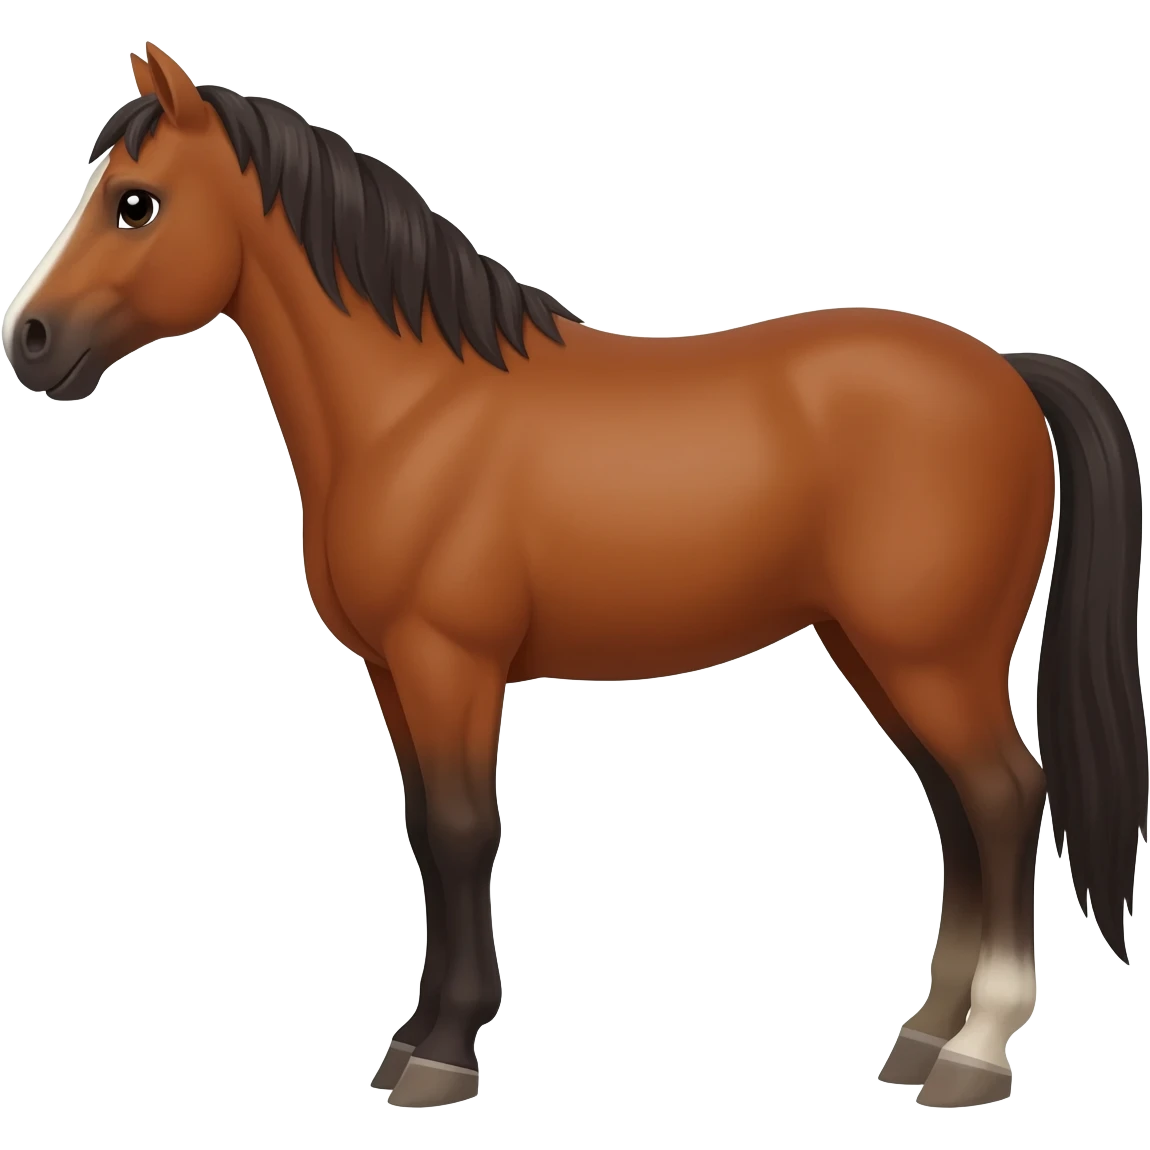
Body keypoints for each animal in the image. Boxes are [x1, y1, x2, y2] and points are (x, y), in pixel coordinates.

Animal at [3, 42, 1145, 1111]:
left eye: (135, 203)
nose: (32, 341)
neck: (416, 413)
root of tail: (1004, 371)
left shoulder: (449, 663)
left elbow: (464, 832)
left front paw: (443, 1051)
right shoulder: (396, 674)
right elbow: (427, 834)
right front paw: (414, 1037)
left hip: (933, 658)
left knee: (1006, 798)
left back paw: (974, 1052)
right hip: (879, 653)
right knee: (959, 809)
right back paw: (920, 1035)